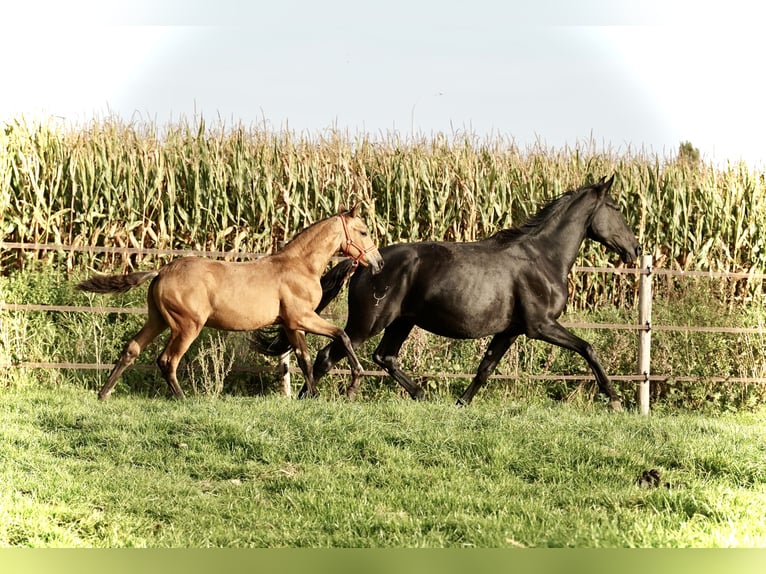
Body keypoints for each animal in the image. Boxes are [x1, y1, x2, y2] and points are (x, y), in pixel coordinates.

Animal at [78, 206, 384, 400]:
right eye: (364, 231)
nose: (379, 263)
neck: (299, 266)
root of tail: (161, 271)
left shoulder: (291, 324)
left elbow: (304, 359)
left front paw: (312, 395)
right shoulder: (302, 318)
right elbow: (341, 335)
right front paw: (354, 382)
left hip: (158, 320)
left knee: (131, 349)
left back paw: (103, 394)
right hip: (186, 326)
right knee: (167, 360)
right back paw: (184, 399)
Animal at [256, 176, 640, 410]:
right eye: (617, 208)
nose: (635, 250)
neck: (543, 258)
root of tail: (365, 262)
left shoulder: (511, 330)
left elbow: (486, 367)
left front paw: (461, 403)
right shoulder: (540, 326)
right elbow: (588, 349)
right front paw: (615, 399)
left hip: (402, 322)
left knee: (385, 357)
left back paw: (421, 394)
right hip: (368, 323)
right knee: (330, 353)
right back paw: (308, 398)